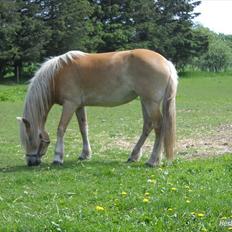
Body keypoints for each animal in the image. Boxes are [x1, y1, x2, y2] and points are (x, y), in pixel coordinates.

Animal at [17, 49, 179, 167]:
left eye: (29, 139)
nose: (30, 162)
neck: (57, 74)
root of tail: (166, 62)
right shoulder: (79, 106)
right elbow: (83, 128)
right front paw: (85, 154)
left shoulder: (70, 104)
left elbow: (61, 128)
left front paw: (58, 157)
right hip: (144, 101)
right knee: (148, 125)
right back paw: (134, 156)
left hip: (150, 102)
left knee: (159, 126)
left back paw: (153, 160)